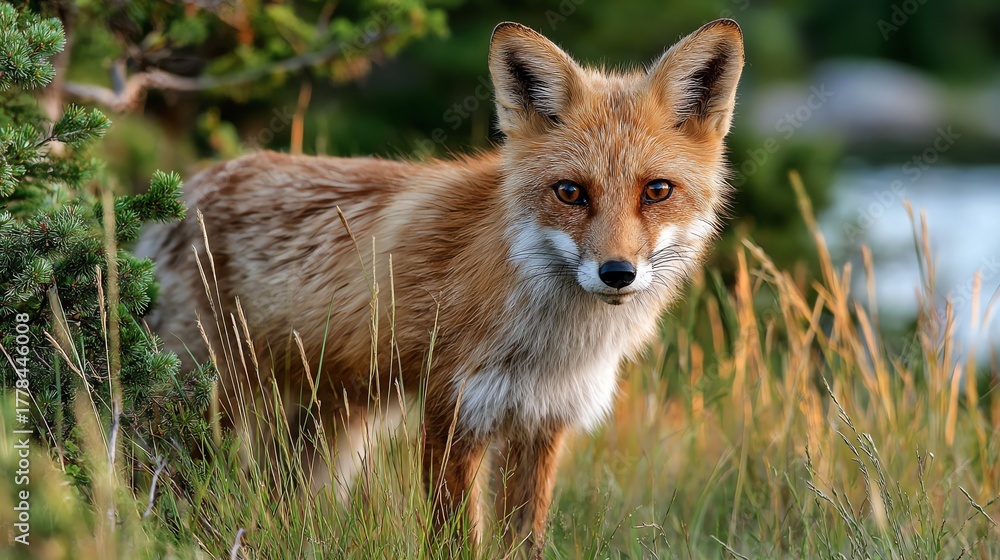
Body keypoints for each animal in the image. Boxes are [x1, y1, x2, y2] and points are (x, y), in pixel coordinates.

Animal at [138, 18, 744, 555]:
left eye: (657, 191)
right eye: (570, 192)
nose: (617, 272)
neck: (552, 346)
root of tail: (178, 191)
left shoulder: (542, 423)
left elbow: (523, 540)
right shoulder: (452, 412)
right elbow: (455, 540)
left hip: (329, 431)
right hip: (211, 405)